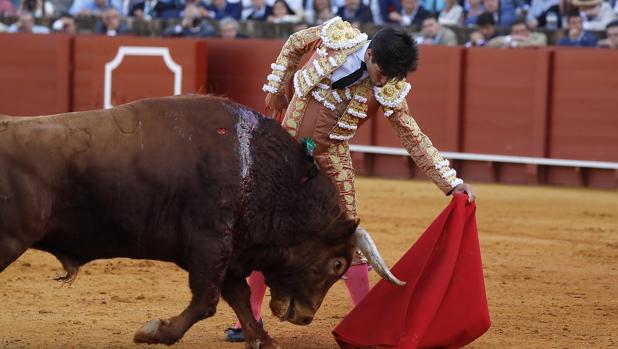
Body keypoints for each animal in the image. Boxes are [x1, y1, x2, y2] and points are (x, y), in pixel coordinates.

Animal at [0, 96, 400, 348]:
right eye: (337, 264)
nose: (304, 317)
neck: (262, 172)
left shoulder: (231, 252)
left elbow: (238, 296)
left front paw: (263, 340)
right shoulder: (211, 244)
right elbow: (207, 300)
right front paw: (154, 332)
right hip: (10, 240)